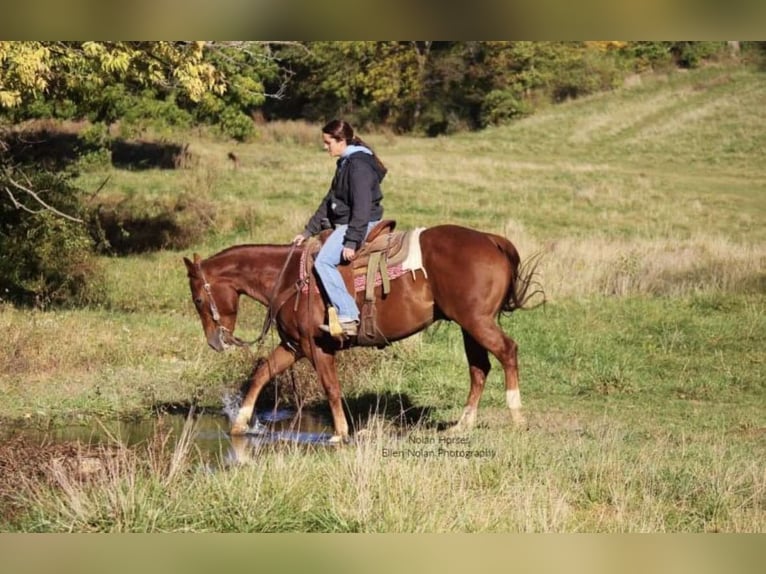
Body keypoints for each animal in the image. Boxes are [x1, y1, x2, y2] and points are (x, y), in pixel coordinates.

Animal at [185, 223, 544, 444]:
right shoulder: (294, 346)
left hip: (478, 322)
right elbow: (262, 373)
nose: (215, 342)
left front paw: (340, 433)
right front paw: (239, 424)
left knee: (508, 352)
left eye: (198, 299)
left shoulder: (316, 348)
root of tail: (491, 240)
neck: (288, 279)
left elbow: (331, 387)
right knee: (479, 368)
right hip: (469, 327)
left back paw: (517, 416)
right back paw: (461, 425)